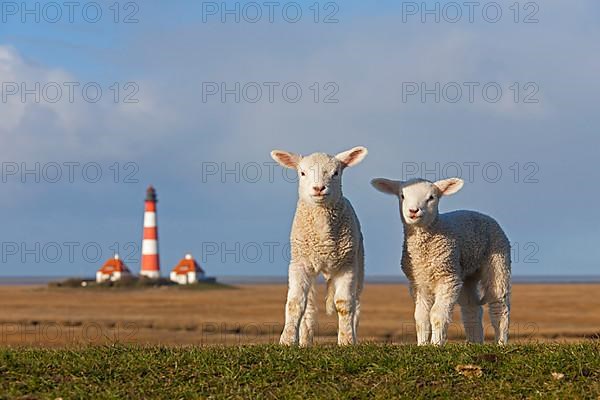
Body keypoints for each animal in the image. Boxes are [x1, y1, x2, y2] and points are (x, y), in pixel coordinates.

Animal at [270, 145, 366, 346]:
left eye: (336, 173)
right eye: (302, 173)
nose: (319, 188)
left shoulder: (347, 266)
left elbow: (344, 304)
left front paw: (346, 340)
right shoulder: (299, 263)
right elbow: (295, 303)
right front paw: (287, 340)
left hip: (359, 261)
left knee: (356, 303)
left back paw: (353, 335)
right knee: (309, 307)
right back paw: (306, 341)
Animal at [372, 177, 508, 346]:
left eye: (431, 197)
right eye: (402, 196)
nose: (413, 211)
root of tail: (480, 213)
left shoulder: (448, 278)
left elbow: (437, 314)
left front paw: (436, 344)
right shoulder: (418, 283)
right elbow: (421, 317)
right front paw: (422, 345)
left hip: (498, 260)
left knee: (499, 305)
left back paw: (501, 343)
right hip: (466, 274)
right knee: (471, 308)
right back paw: (474, 343)